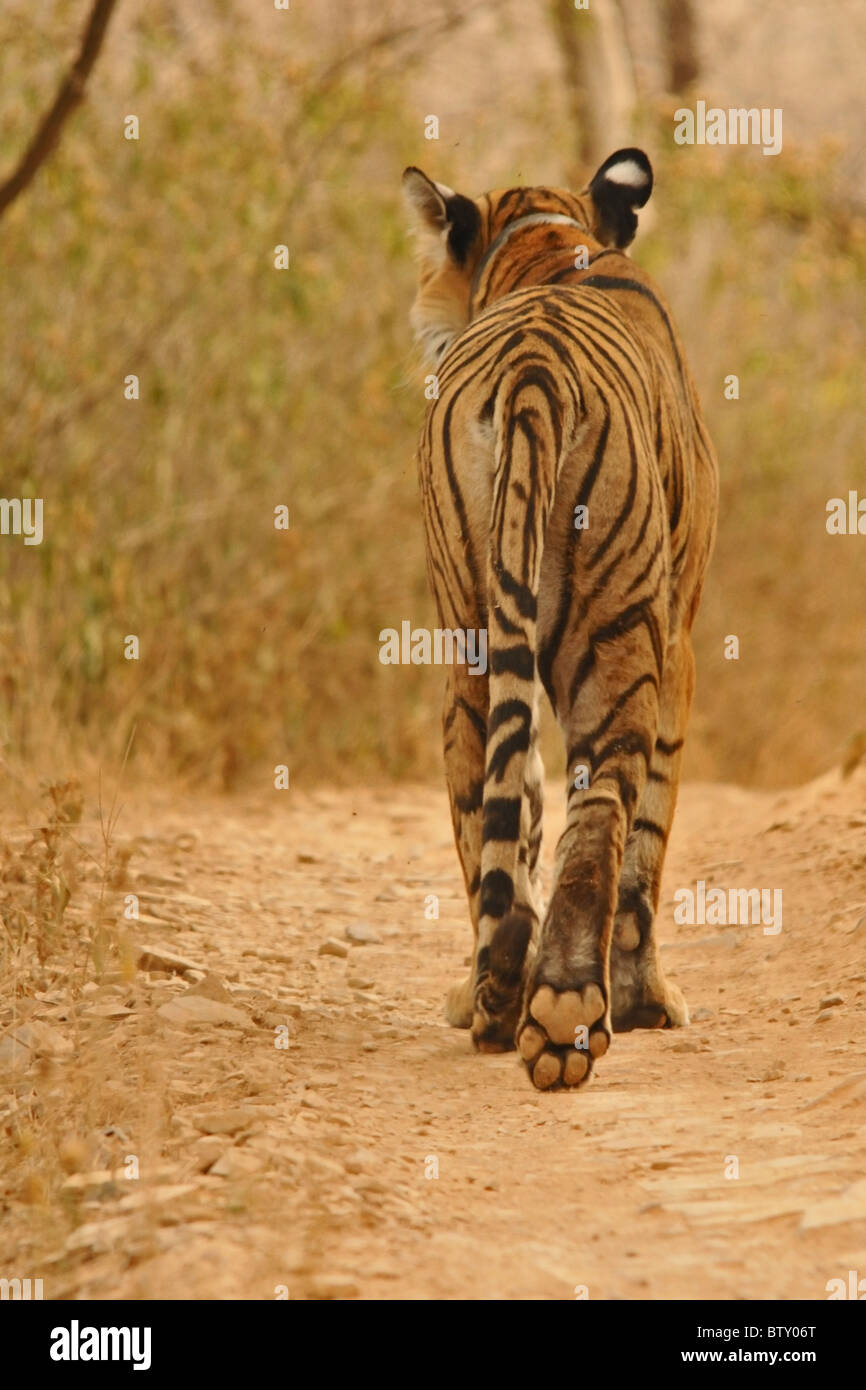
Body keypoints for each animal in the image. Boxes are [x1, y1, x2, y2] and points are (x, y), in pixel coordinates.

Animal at [402, 148, 718, 1090]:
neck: (542, 235)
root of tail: (535, 368)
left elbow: (522, 810)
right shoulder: (678, 646)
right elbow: (649, 831)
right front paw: (648, 1000)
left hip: (467, 647)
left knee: (489, 803)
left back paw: (498, 996)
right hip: (619, 638)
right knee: (607, 801)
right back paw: (568, 1011)